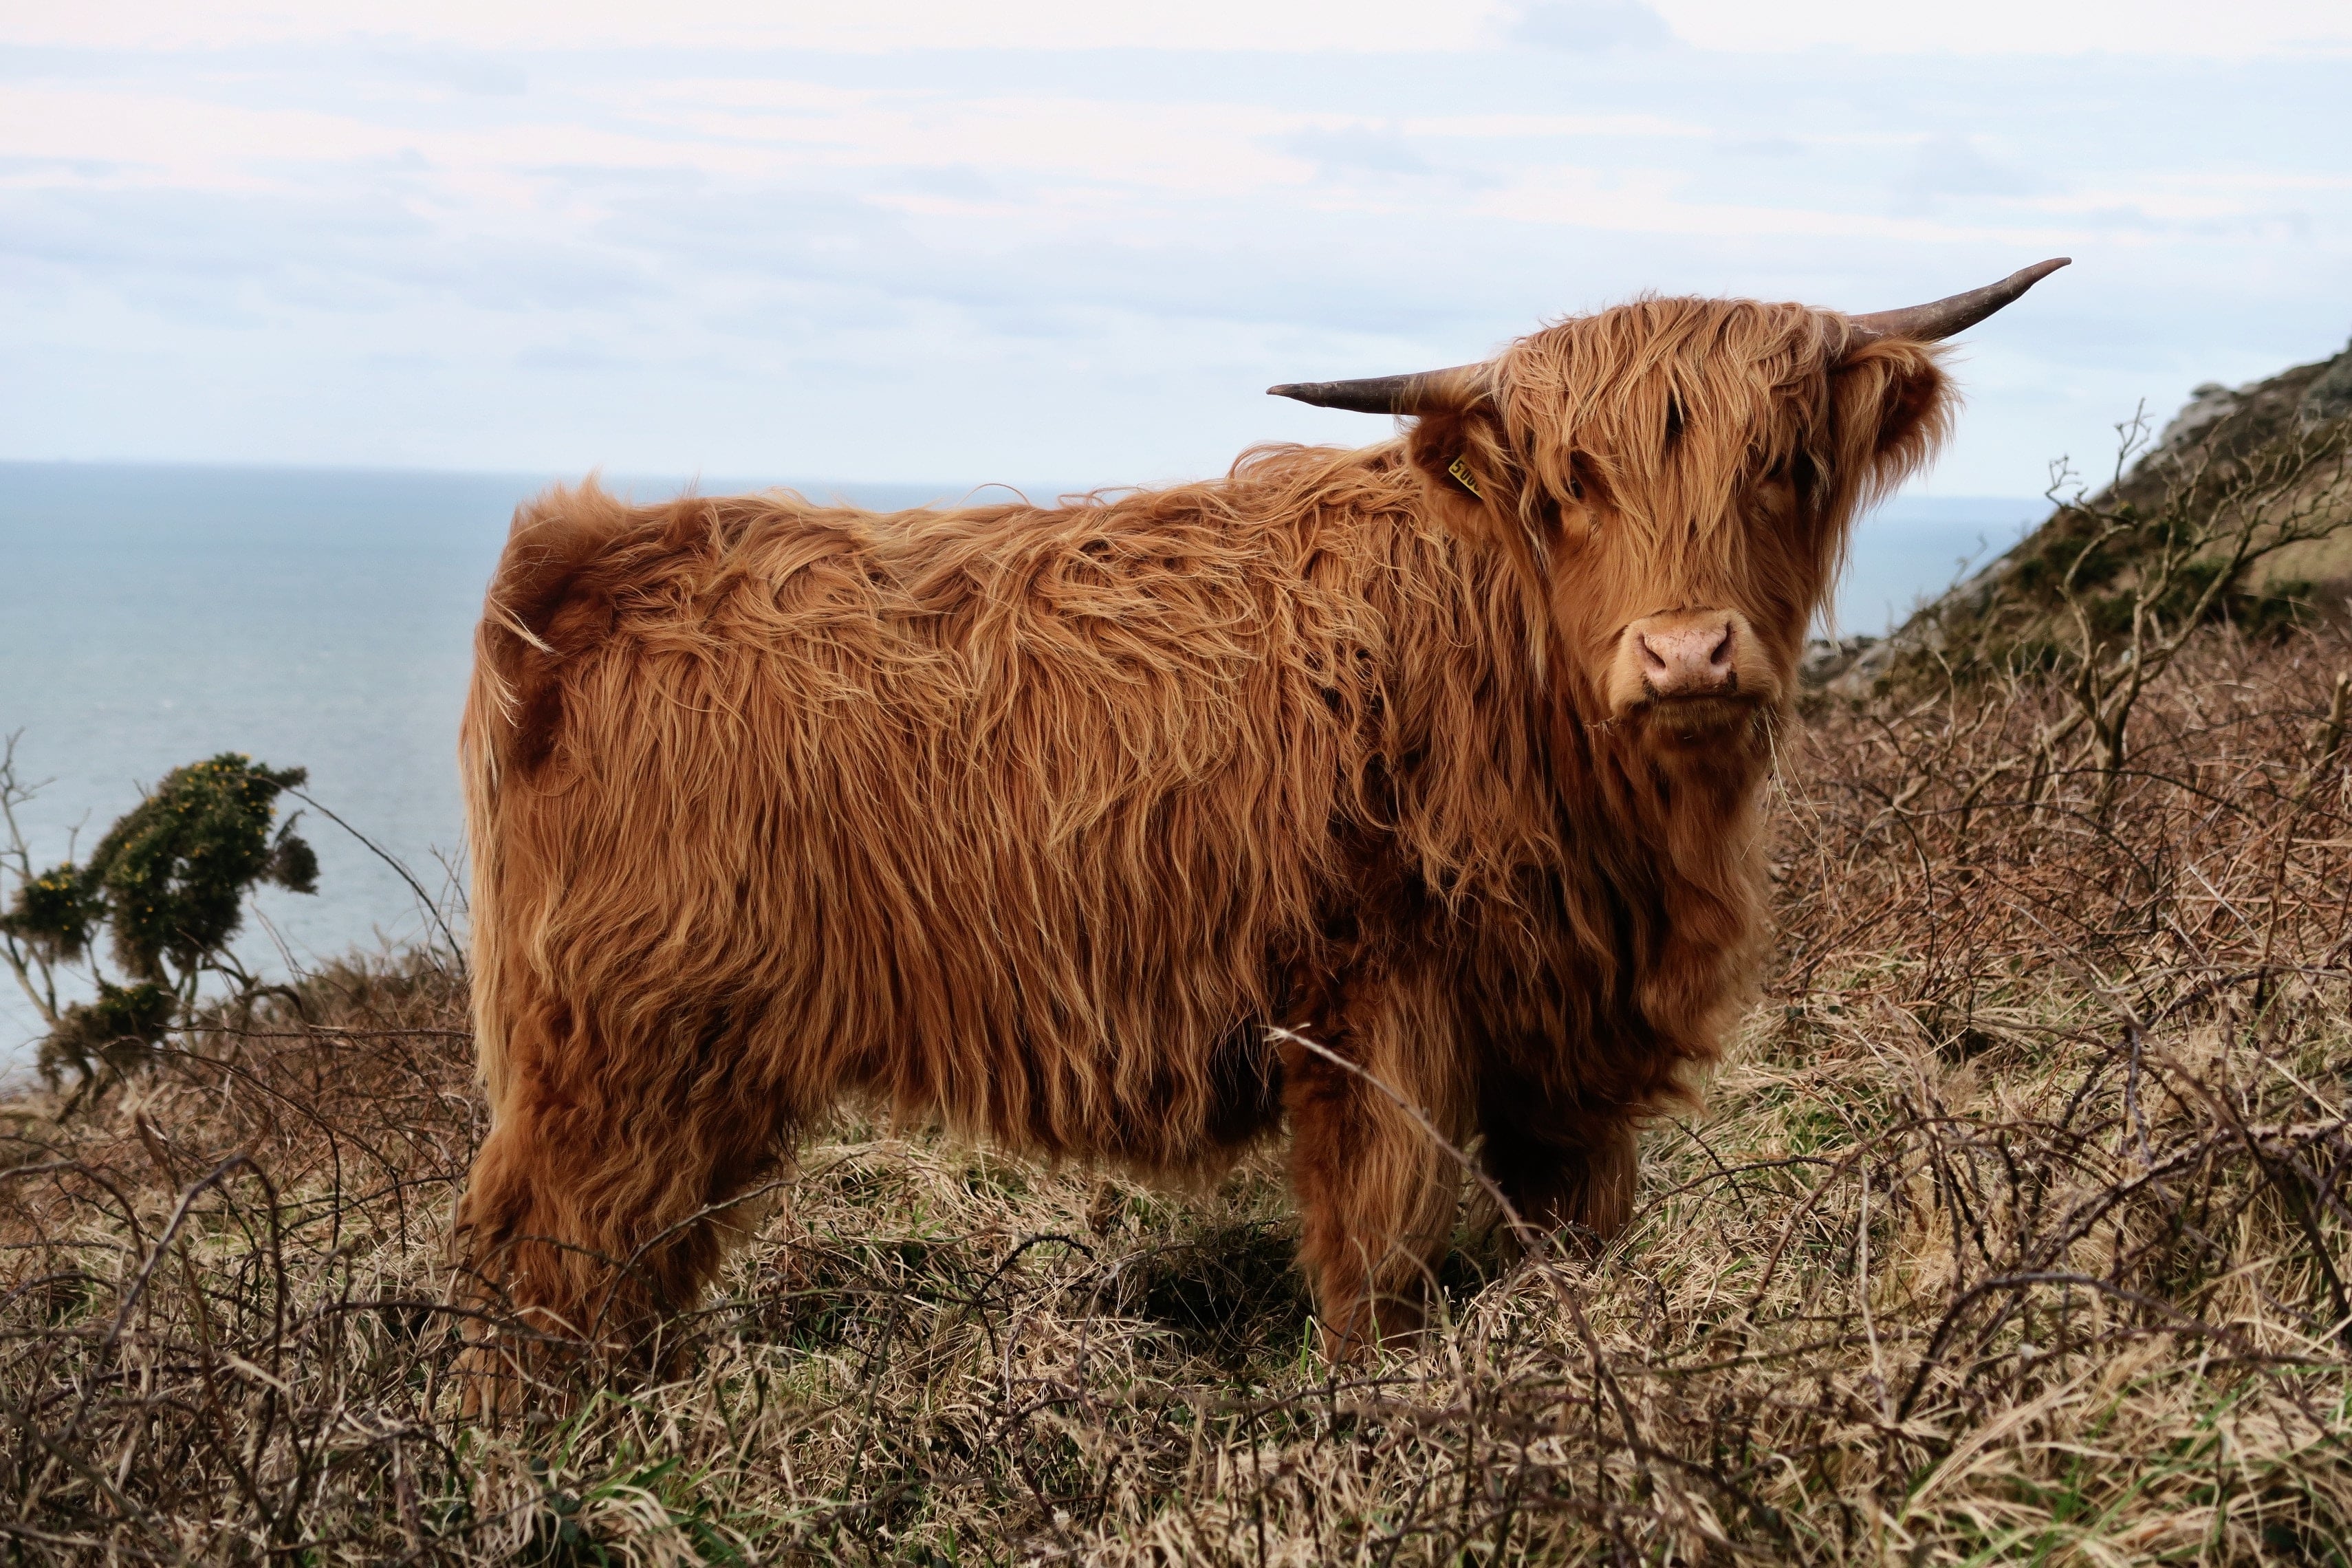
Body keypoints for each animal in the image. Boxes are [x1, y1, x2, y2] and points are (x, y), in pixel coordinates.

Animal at [449, 261, 2069, 1382]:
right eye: (1570, 487)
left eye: (1783, 467)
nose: (1686, 654)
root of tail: (594, 556)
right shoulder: (1375, 1007)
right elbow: (1380, 1251)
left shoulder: (1567, 1041)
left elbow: (1572, 1232)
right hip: (626, 1046)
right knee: (544, 1264)